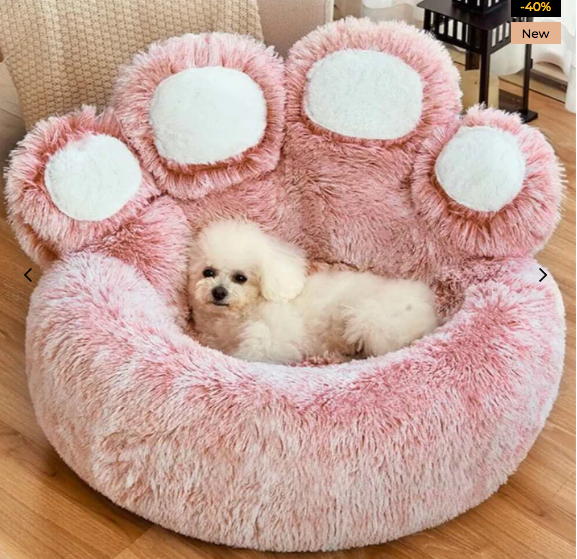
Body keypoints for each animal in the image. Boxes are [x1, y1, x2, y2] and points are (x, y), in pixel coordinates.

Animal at [189, 221, 436, 366]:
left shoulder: (271, 339)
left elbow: (255, 351)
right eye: (208, 272)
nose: (218, 292)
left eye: (241, 278)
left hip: (369, 320)